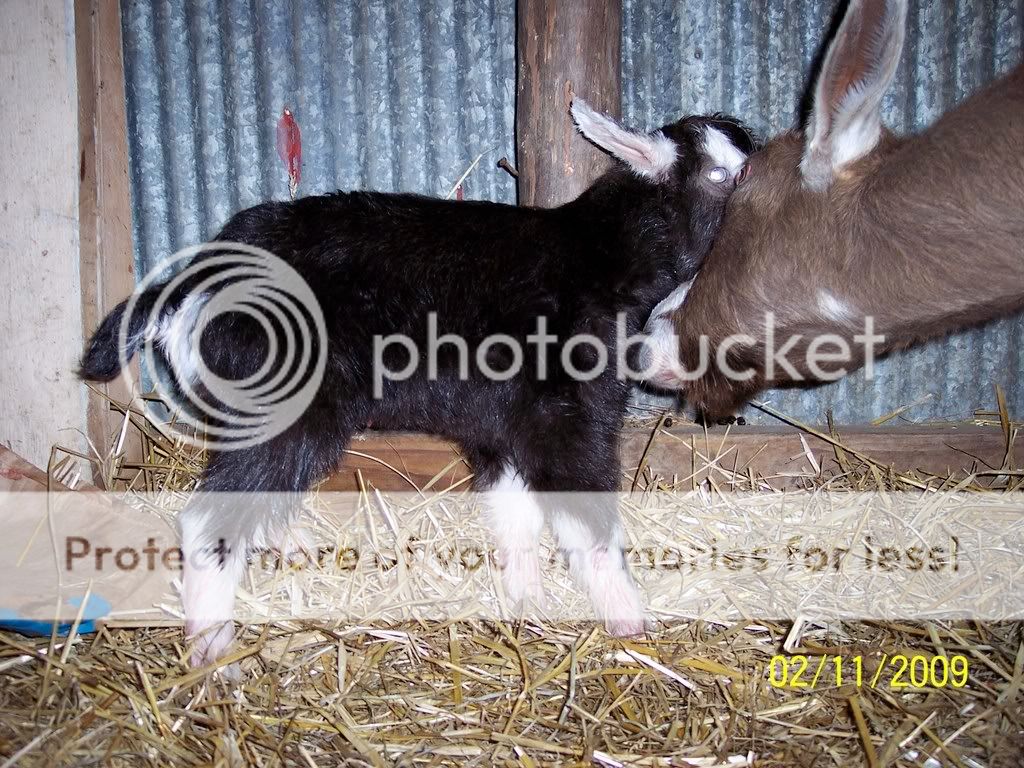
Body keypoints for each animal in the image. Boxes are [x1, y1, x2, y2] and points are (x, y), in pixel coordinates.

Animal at [80, 102, 754, 667]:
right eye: (723, 174)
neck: (602, 256)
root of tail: (191, 283)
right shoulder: (567, 415)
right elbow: (587, 521)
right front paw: (630, 624)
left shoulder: (501, 428)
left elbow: (515, 517)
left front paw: (527, 604)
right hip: (282, 404)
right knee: (206, 521)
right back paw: (214, 654)